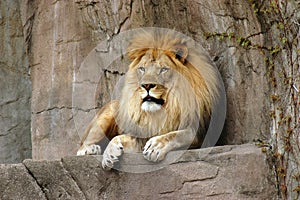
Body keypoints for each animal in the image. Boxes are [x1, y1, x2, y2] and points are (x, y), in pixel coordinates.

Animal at [76, 29, 219, 170]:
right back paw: (89, 149)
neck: (169, 106)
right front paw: (109, 154)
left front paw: (155, 146)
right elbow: (118, 137)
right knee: (81, 146)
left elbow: (177, 135)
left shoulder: (200, 133)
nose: (147, 85)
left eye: (163, 69)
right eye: (142, 69)